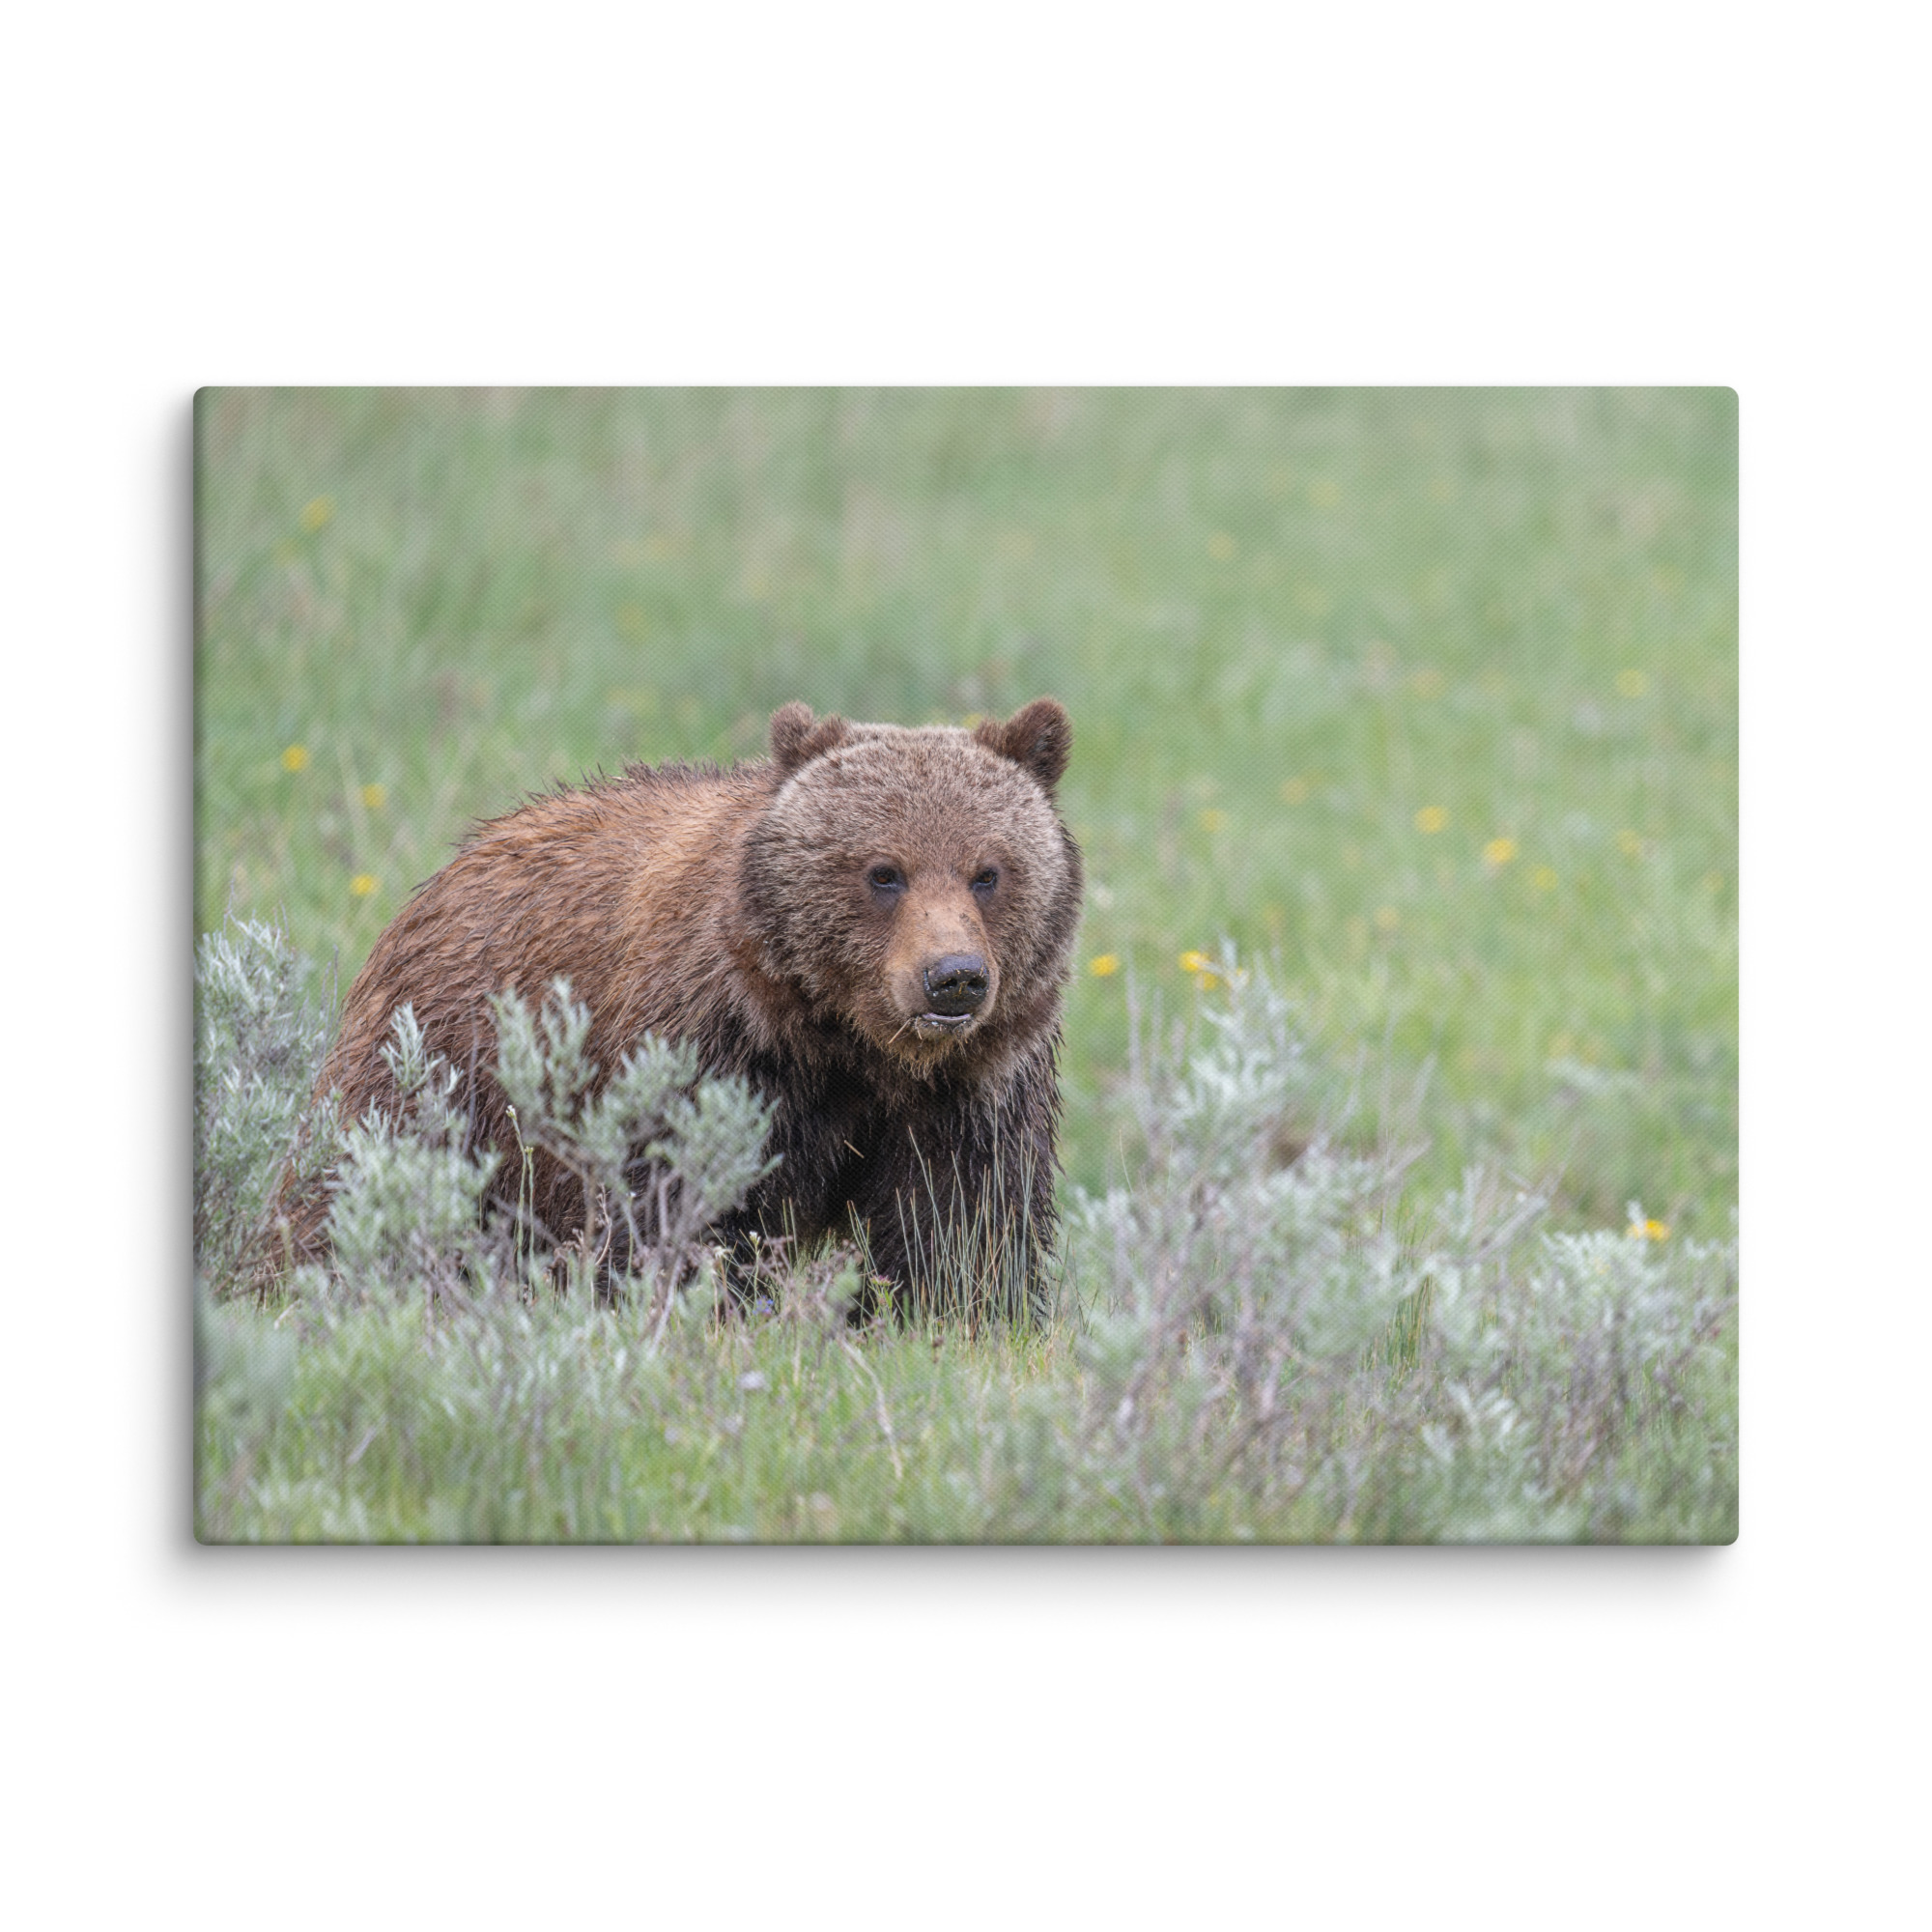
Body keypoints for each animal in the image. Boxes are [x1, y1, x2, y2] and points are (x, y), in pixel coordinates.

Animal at [285, 698, 1083, 1320]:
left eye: (988, 872)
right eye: (883, 872)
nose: (953, 978)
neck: (849, 1044)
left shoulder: (971, 1088)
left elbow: (960, 1226)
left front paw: (951, 1315)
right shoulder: (713, 1052)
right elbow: (675, 1206)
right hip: (442, 1067)